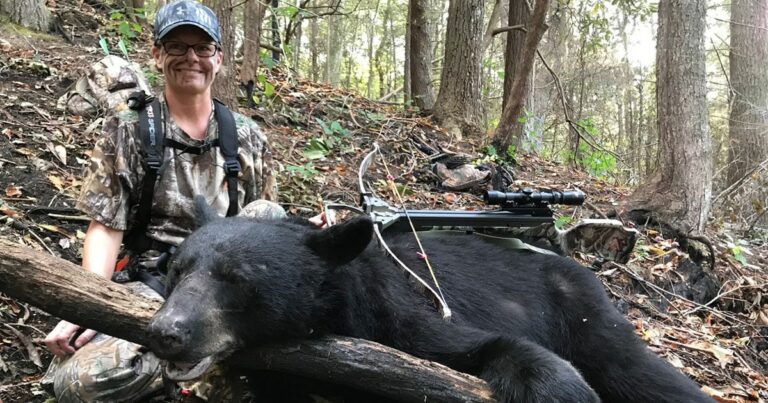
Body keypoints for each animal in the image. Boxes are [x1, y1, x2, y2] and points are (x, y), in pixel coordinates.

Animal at [146, 200, 712, 403]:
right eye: (177, 271)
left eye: (236, 279)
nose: (166, 332)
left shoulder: (402, 318)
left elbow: (481, 346)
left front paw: (562, 391)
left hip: (585, 314)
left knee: (642, 375)